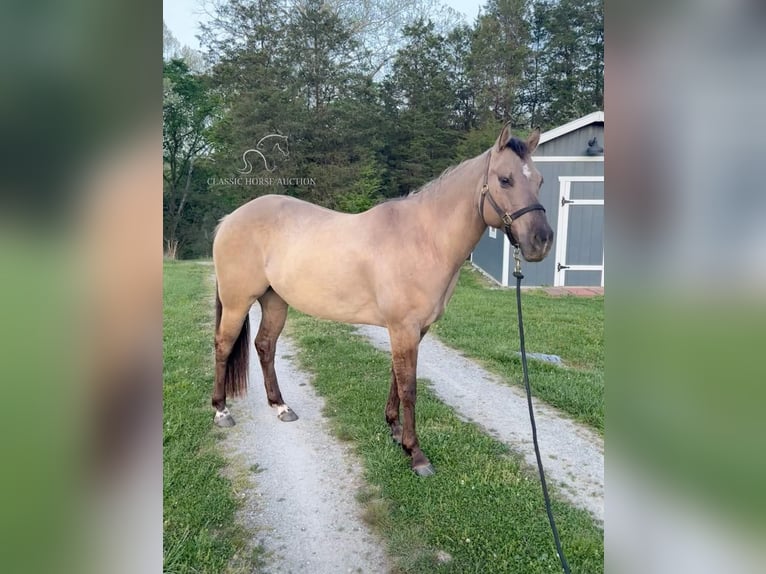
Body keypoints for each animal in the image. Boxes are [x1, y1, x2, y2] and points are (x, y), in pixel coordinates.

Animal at [213, 122, 556, 476]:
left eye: (539, 181)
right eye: (505, 179)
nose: (541, 241)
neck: (424, 239)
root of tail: (229, 220)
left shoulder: (414, 329)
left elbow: (396, 377)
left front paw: (394, 430)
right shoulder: (403, 327)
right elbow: (409, 387)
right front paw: (416, 454)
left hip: (275, 302)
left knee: (265, 346)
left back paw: (281, 406)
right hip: (237, 302)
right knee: (223, 346)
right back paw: (222, 412)